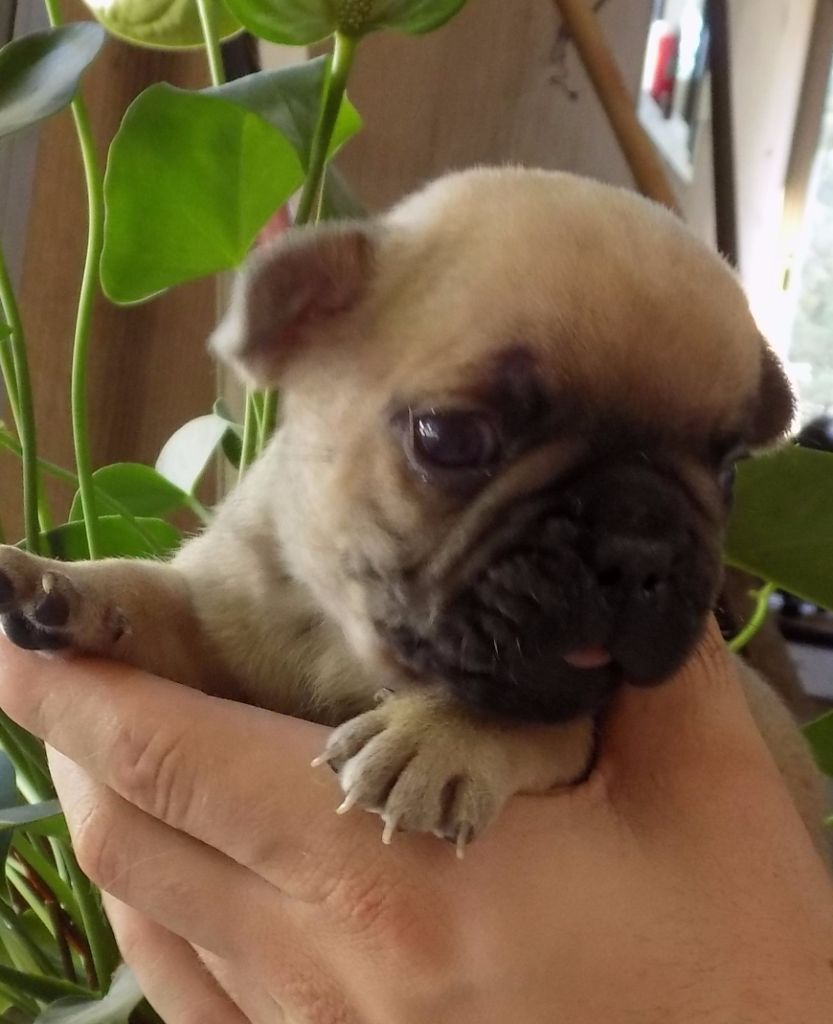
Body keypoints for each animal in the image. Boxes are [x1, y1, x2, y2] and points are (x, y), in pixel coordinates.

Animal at [0, 167, 824, 853]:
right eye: (450, 439)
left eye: (728, 471)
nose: (638, 541)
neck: (340, 637)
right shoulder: (217, 628)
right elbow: (151, 597)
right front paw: (58, 582)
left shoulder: (562, 718)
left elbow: (511, 702)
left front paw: (438, 740)